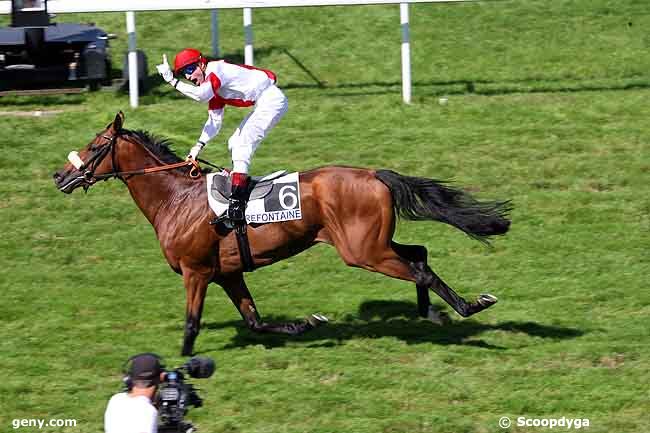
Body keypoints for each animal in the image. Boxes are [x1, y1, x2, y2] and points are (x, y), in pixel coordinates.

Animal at [53, 112, 512, 354]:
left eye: (95, 145)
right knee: (418, 252)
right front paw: (305, 324)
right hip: (374, 243)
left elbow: (192, 323)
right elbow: (255, 321)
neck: (175, 199)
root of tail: (372, 174)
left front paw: (181, 364)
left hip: (362, 251)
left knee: (418, 268)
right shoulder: (228, 273)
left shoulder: (196, 272)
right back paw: (431, 312)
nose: (60, 176)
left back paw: (467, 307)